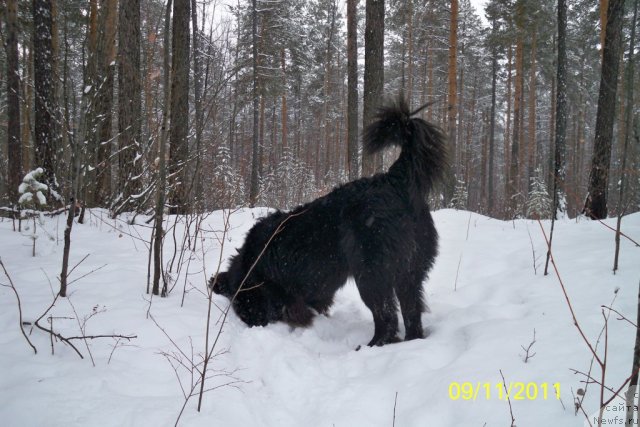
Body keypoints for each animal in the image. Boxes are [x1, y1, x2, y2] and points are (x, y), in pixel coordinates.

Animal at [210, 98, 444, 348]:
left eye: (247, 304)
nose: (255, 323)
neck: (252, 263)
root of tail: (394, 180)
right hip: (409, 271)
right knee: (411, 313)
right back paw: (411, 340)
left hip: (371, 273)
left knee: (387, 316)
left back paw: (370, 346)